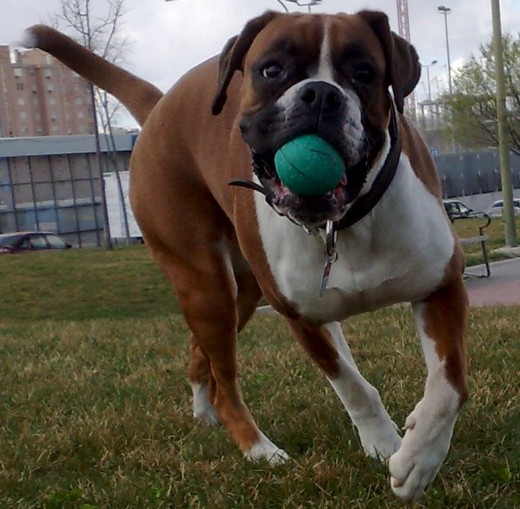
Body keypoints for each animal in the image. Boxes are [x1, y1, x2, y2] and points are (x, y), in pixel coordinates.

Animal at [25, 10, 472, 500]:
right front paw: (385, 443)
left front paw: (417, 458)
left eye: (364, 72)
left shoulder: (442, 285)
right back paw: (259, 449)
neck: (343, 222)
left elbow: (449, 386)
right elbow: (351, 384)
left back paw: (206, 413)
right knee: (225, 383)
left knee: (200, 354)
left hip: (239, 294)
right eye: (271, 70)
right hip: (205, 285)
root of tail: (161, 105)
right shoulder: (303, 318)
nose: (321, 94)